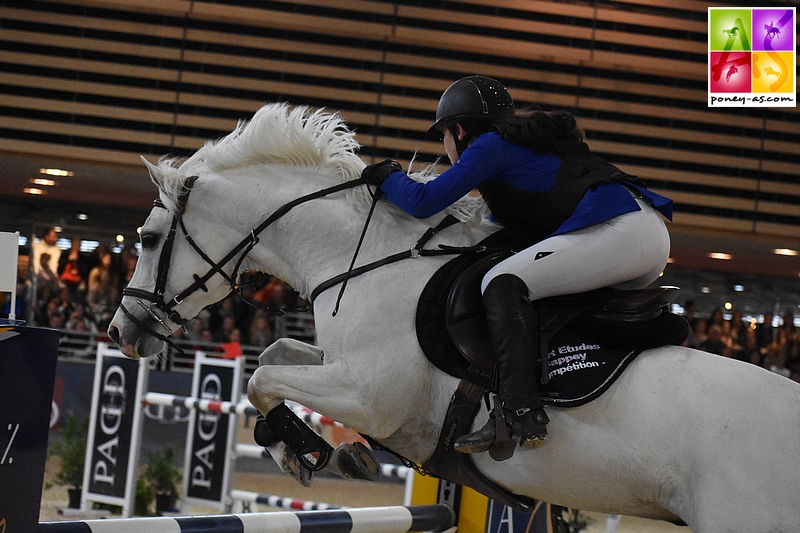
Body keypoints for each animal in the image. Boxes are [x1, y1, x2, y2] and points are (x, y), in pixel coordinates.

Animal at [111, 102, 800, 528]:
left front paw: (311, 451)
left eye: (145, 238)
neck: (363, 255)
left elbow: (261, 376)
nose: (121, 332)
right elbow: (277, 358)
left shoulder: (372, 398)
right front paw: (311, 451)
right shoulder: (344, 367)